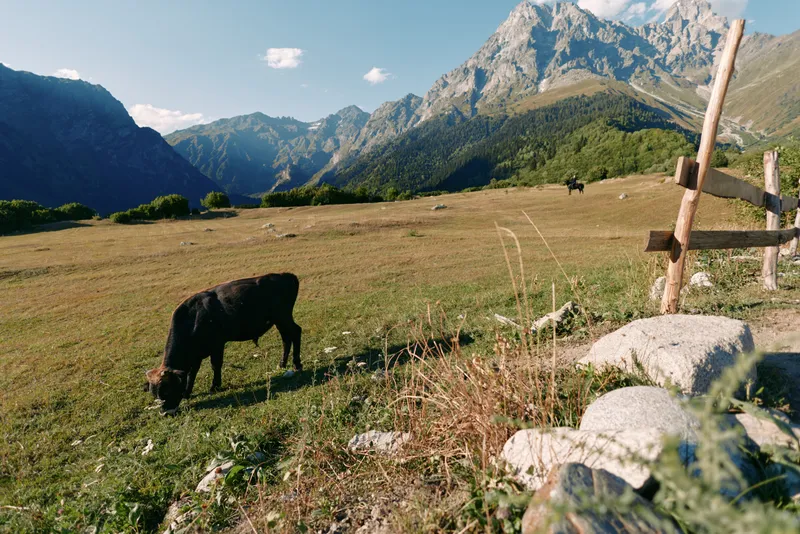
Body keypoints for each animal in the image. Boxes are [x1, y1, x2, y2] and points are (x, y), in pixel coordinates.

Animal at [144, 273, 302, 414]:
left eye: (167, 390)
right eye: (154, 394)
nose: (165, 412)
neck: (193, 317)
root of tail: (286, 275)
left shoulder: (217, 345)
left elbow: (215, 365)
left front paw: (215, 386)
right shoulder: (196, 355)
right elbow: (192, 372)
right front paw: (187, 392)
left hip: (283, 318)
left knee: (296, 332)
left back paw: (297, 364)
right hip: (279, 321)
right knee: (286, 339)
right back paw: (282, 364)